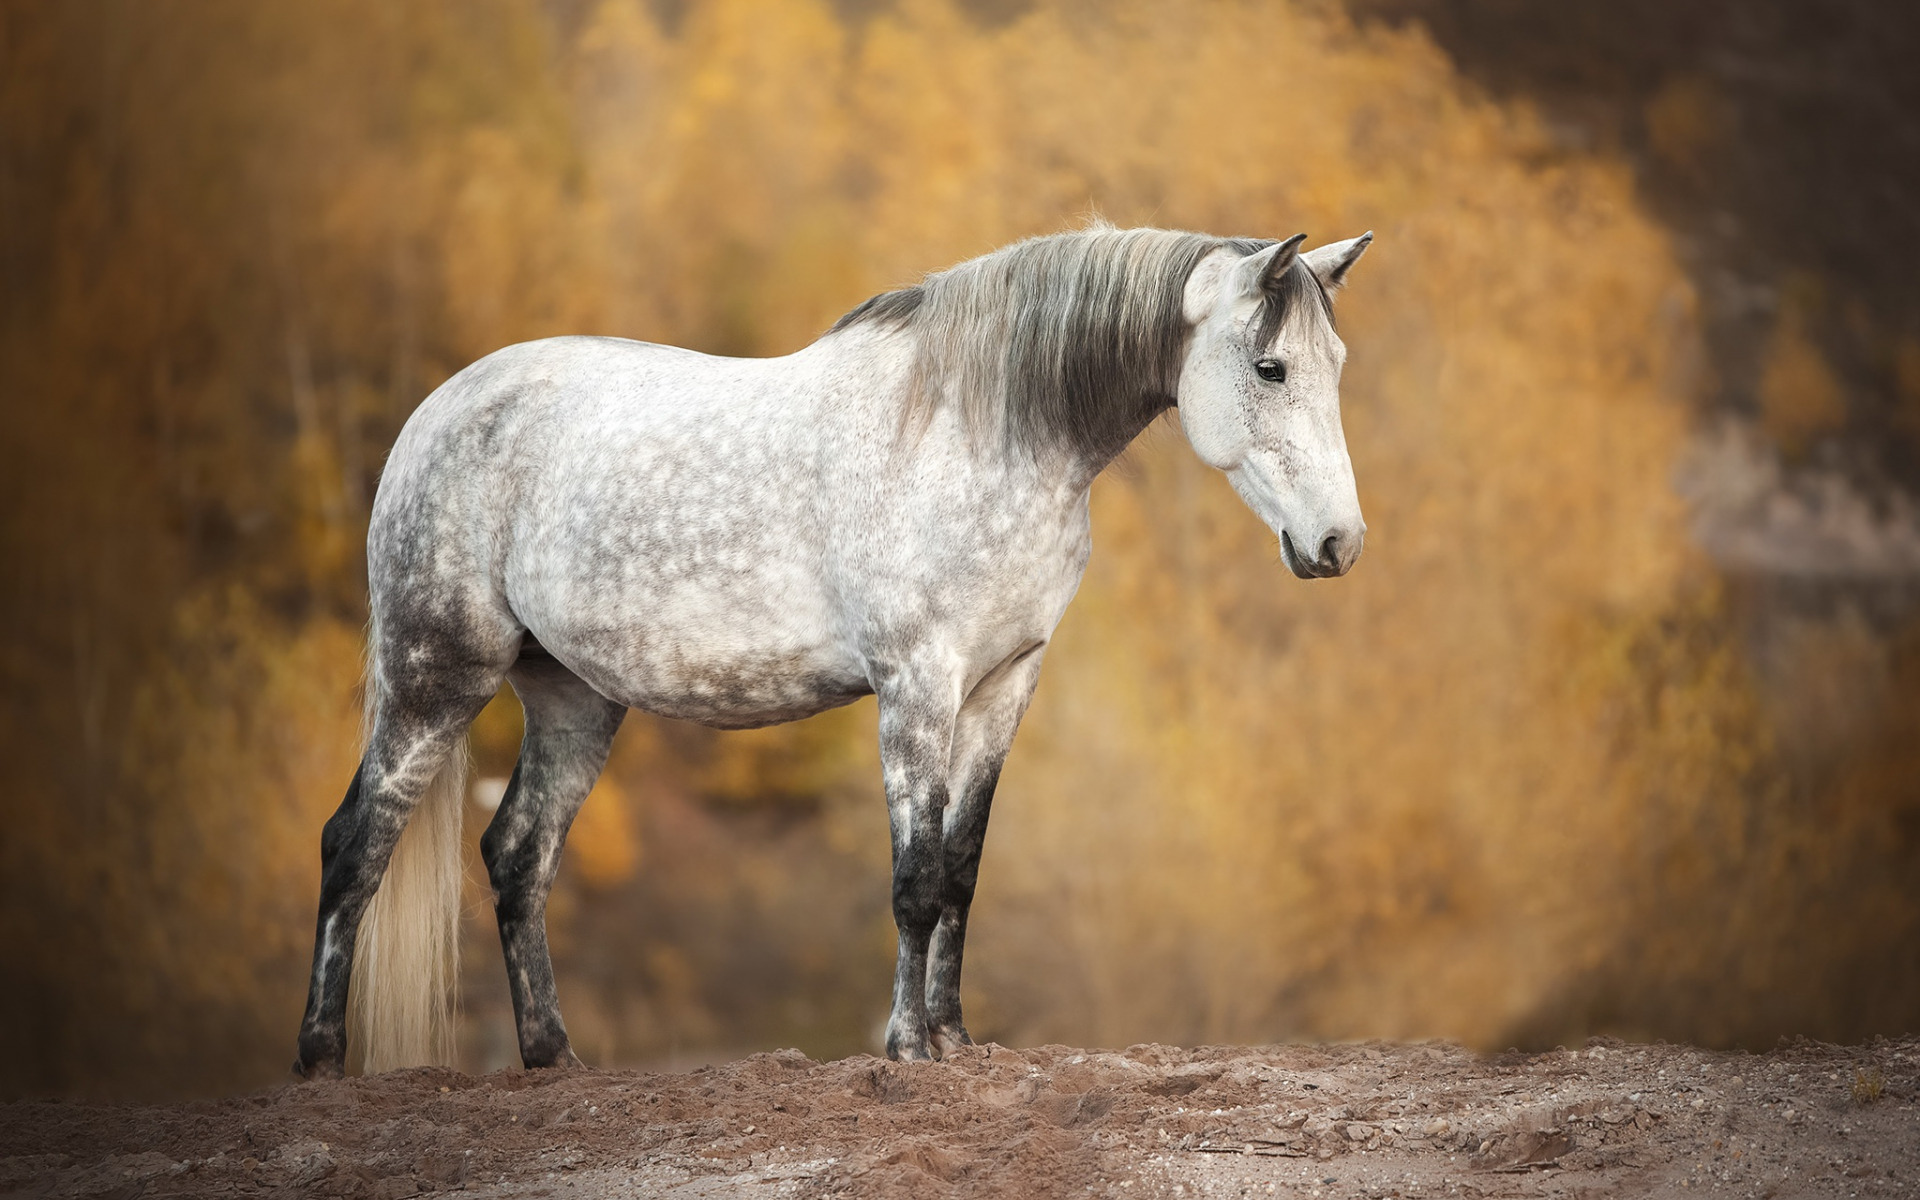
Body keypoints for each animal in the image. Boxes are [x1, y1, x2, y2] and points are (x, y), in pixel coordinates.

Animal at [292, 221, 1373, 1078]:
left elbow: (962, 869)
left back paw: (553, 1057)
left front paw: (955, 1041)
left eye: (1335, 366)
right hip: (436, 675)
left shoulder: (1002, 687)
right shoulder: (917, 684)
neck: (977, 433)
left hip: (572, 698)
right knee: (355, 843)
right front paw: (906, 1048)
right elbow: (915, 877)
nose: (1338, 544)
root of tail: (438, 411)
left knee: (518, 856)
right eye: (1271, 368)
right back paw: (319, 1062)